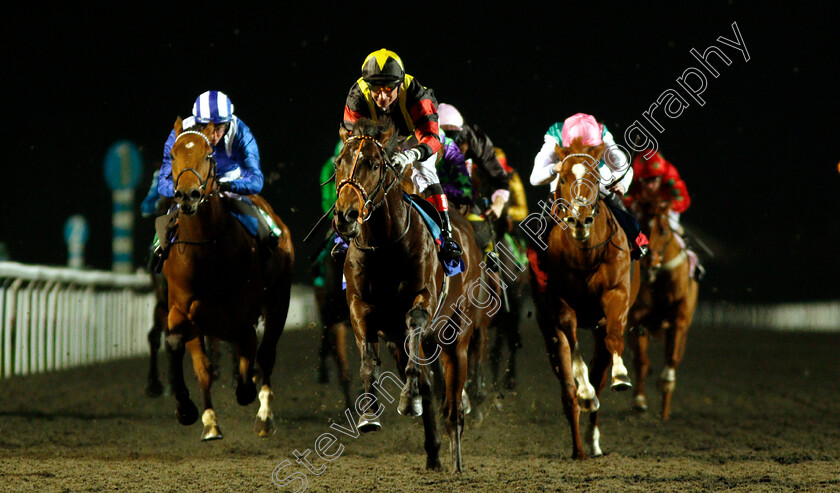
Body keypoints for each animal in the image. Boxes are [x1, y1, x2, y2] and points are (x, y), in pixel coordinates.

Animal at [164, 118, 296, 438]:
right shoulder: (182, 309)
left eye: (208, 155)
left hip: (278, 302)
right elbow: (182, 349)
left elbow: (250, 350)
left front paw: (245, 391)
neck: (205, 250)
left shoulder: (242, 314)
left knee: (266, 353)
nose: (187, 195)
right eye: (172, 154)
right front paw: (188, 410)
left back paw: (264, 416)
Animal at [332, 117, 482, 470]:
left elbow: (415, 323)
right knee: (431, 387)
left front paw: (409, 398)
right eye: (339, 161)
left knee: (453, 403)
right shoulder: (360, 308)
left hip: (459, 335)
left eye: (374, 164)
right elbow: (368, 360)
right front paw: (369, 414)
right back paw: (433, 451)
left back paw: (455, 459)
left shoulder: (422, 301)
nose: (345, 215)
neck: (384, 246)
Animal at [532, 137, 644, 458]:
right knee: (567, 387)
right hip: (548, 328)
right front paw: (585, 393)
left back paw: (591, 443)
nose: (579, 220)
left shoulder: (615, 296)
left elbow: (615, 339)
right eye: (563, 178)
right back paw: (578, 446)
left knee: (600, 374)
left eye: (595, 177)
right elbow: (573, 348)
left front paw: (621, 375)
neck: (584, 256)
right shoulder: (560, 305)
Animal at [628, 199, 700, 418]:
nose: (648, 260)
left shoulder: (679, 320)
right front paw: (639, 402)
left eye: (663, 231)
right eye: (640, 226)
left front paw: (665, 389)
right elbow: (640, 362)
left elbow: (672, 359)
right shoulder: (637, 319)